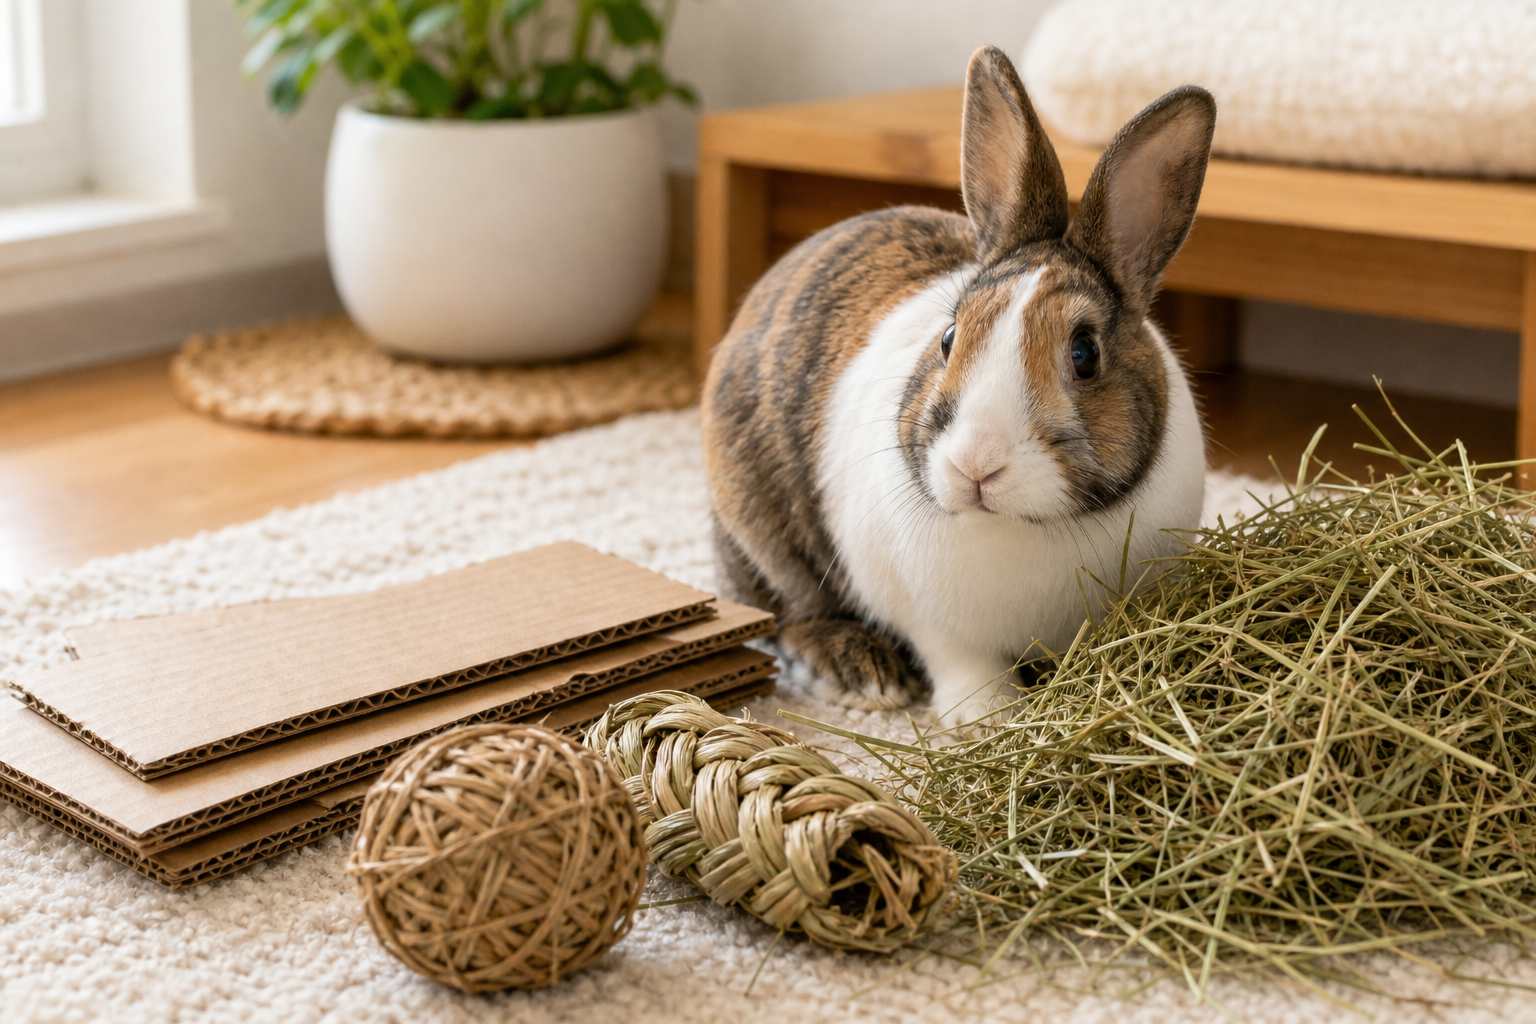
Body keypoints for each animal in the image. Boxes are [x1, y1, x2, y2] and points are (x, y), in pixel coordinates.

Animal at [700, 46, 1215, 725]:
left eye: (1084, 354)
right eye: (949, 337)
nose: (976, 465)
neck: (1025, 526)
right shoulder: (936, 628)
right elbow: (963, 666)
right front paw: (991, 719)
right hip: (764, 532)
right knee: (788, 614)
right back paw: (861, 674)